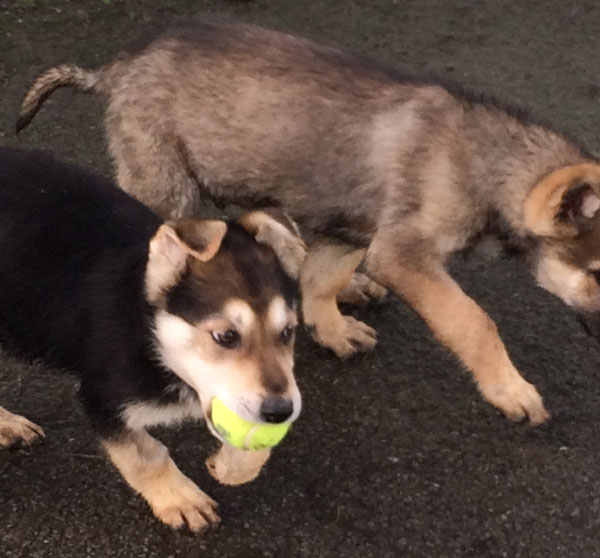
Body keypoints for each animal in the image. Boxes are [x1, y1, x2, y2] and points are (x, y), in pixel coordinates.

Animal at [0, 148, 304, 532]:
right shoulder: (104, 399)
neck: (150, 332)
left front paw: (231, 468)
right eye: (225, 336)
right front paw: (181, 499)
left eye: (287, 333)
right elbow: (146, 456)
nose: (280, 412)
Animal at [16, 19, 600, 426]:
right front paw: (511, 390)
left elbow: (322, 280)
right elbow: (473, 321)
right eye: (597, 273)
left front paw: (331, 327)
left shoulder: (353, 233)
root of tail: (120, 66)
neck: (489, 161)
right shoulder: (404, 252)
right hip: (168, 184)